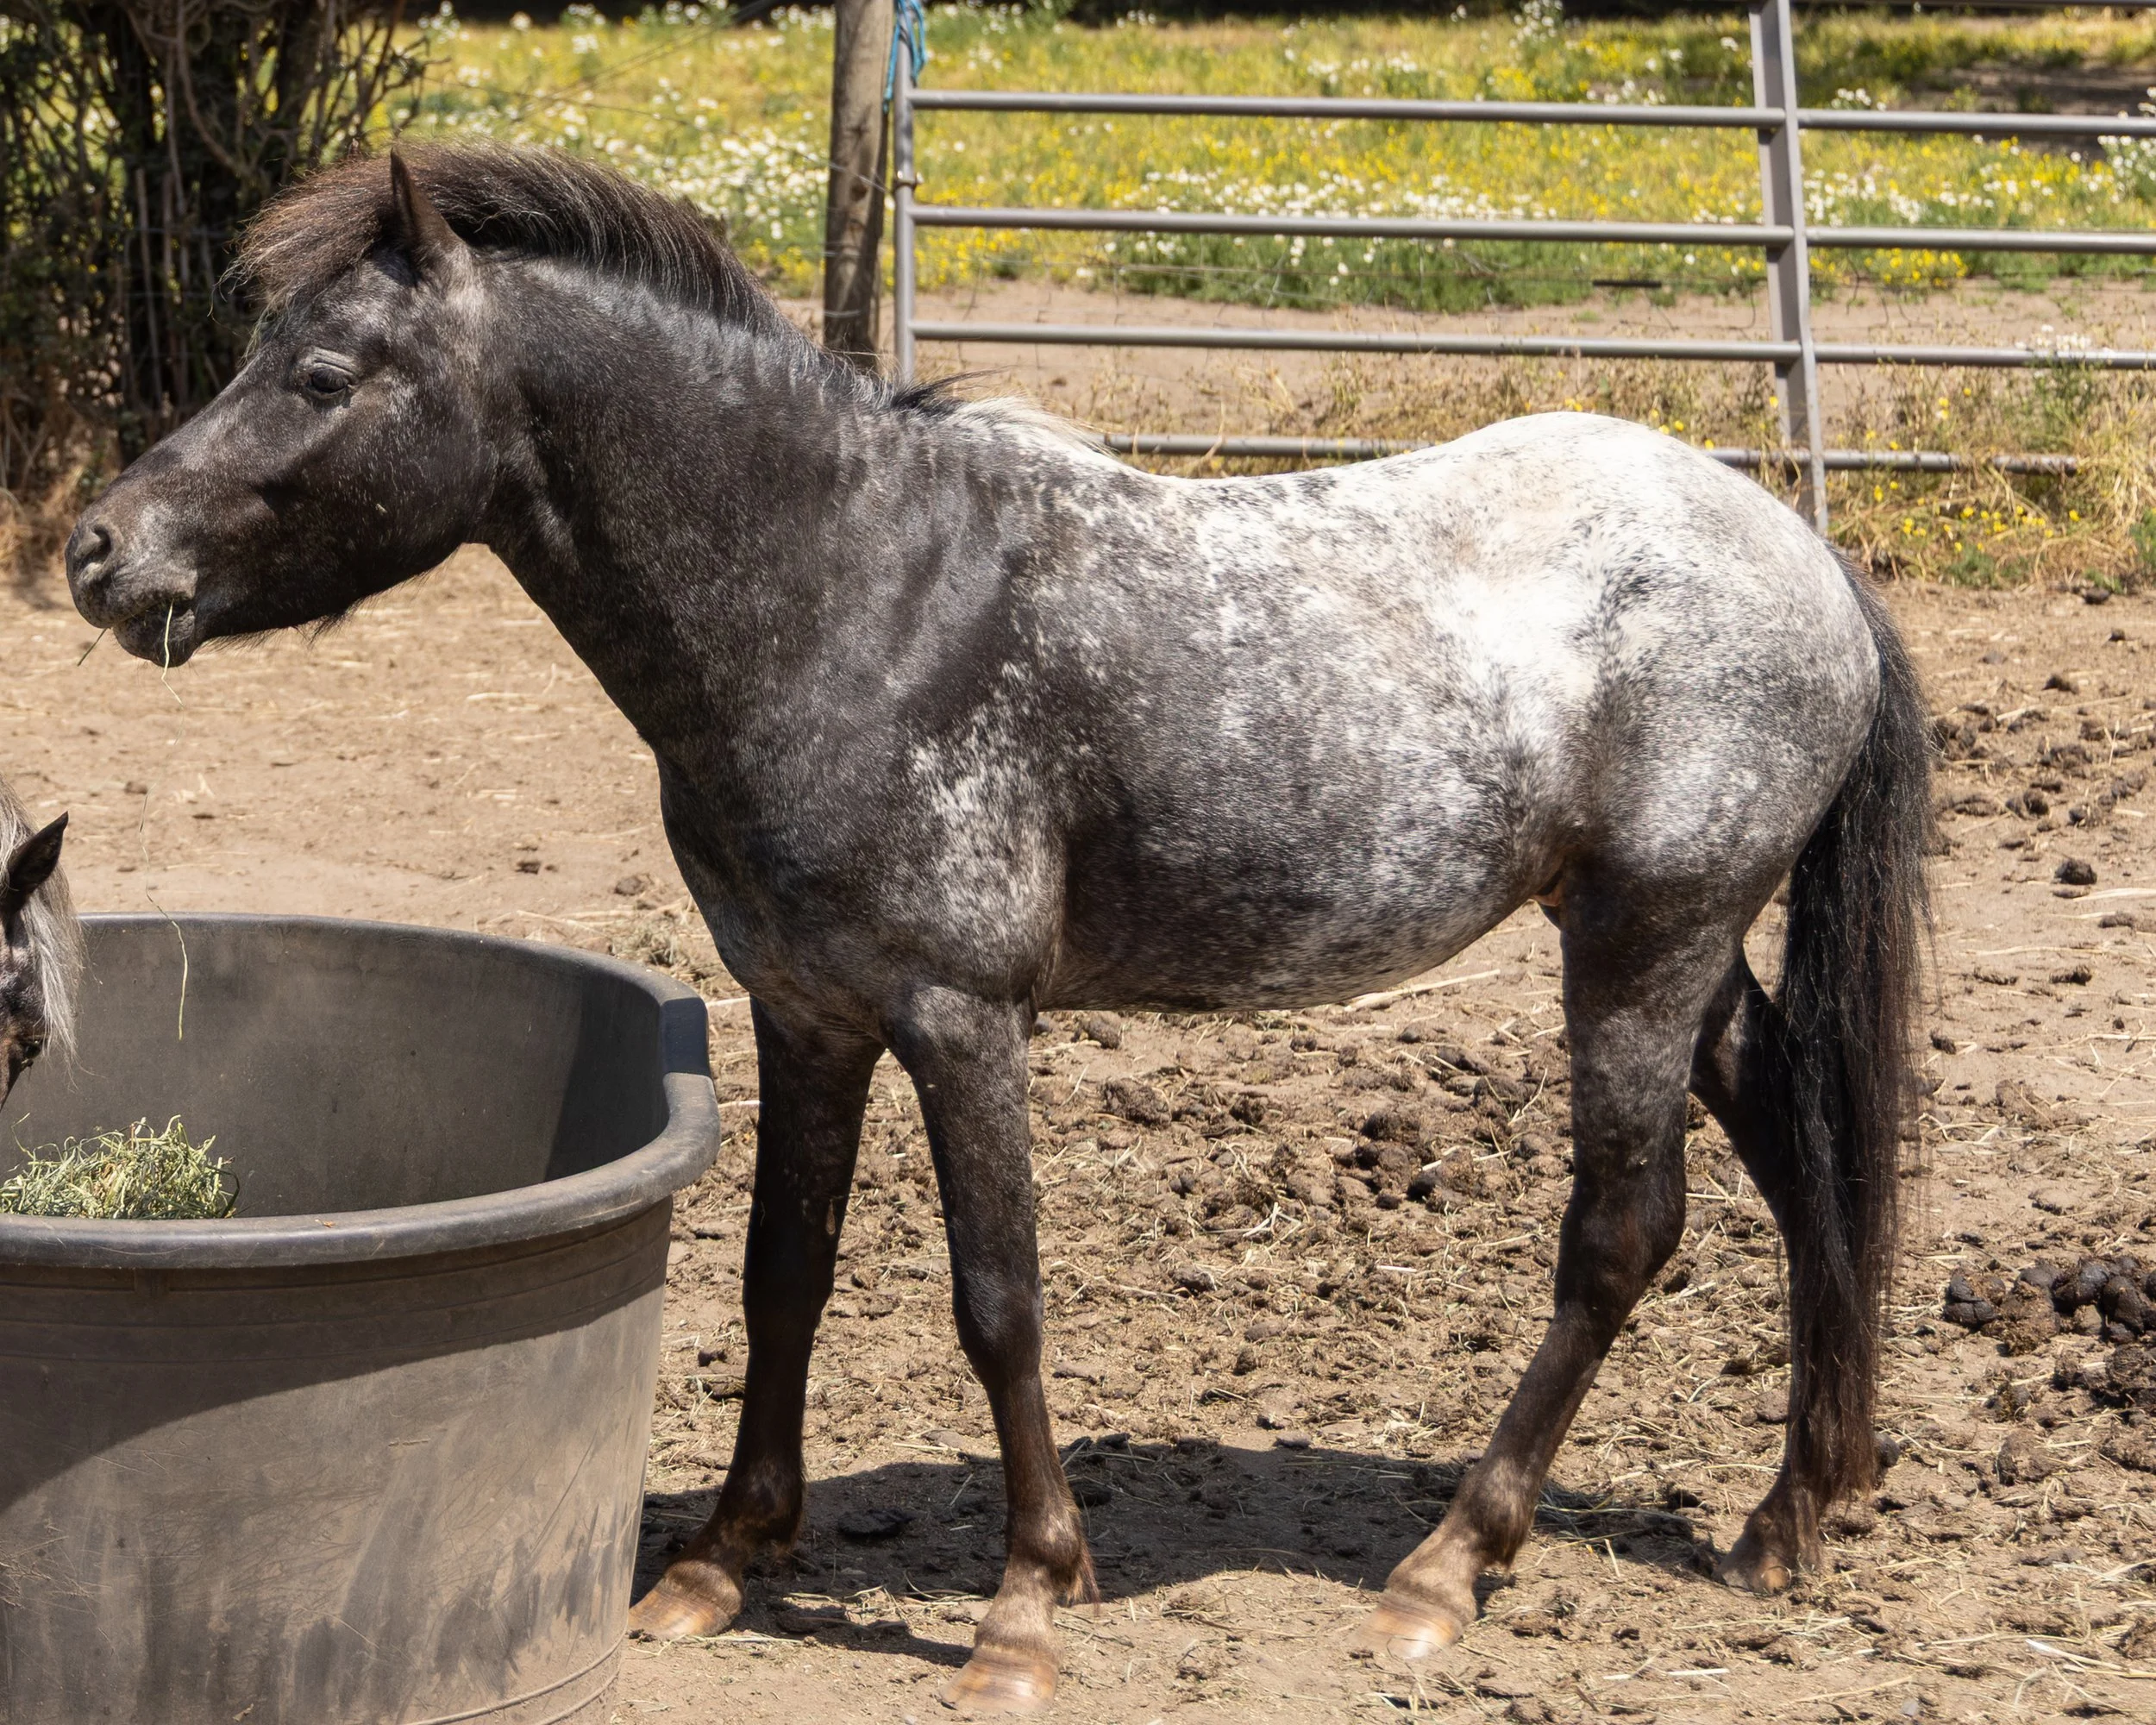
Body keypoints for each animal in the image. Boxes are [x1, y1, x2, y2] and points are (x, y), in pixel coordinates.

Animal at [64, 143, 1929, 1714]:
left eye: (320, 375)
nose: (94, 551)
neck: (853, 597)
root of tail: (1800, 552)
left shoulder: (959, 1017)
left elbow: (997, 1297)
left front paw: (1027, 1606)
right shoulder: (807, 1009)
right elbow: (786, 1271)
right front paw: (722, 1562)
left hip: (1639, 945)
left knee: (1622, 1233)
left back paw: (1446, 1568)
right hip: (1676, 953)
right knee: (1798, 1147)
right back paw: (1792, 1513)